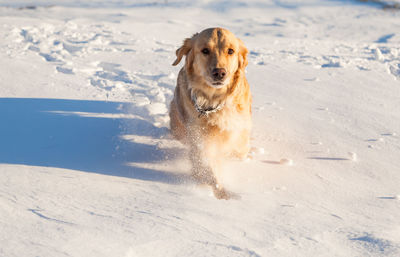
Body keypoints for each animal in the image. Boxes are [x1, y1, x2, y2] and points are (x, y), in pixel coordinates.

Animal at [170, 28, 252, 199]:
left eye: (231, 51)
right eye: (205, 51)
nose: (219, 72)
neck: (214, 101)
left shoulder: (241, 129)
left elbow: (238, 151)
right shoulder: (198, 141)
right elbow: (207, 169)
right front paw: (222, 194)